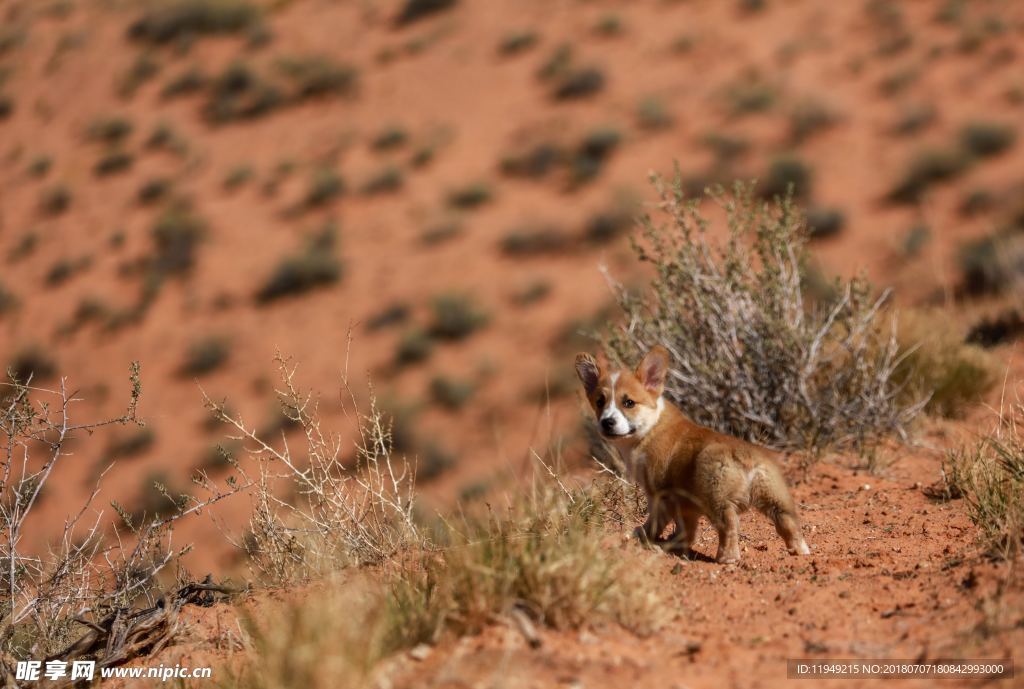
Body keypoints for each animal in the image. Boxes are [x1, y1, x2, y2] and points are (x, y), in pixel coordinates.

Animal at [577, 346, 806, 561]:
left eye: (628, 403)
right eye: (599, 402)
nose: (607, 422)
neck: (650, 426)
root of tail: (747, 457)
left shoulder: (659, 494)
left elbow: (655, 522)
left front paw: (643, 536)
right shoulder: (685, 505)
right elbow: (686, 529)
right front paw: (675, 544)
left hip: (715, 497)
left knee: (729, 523)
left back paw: (727, 557)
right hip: (775, 496)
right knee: (788, 521)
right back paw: (800, 550)